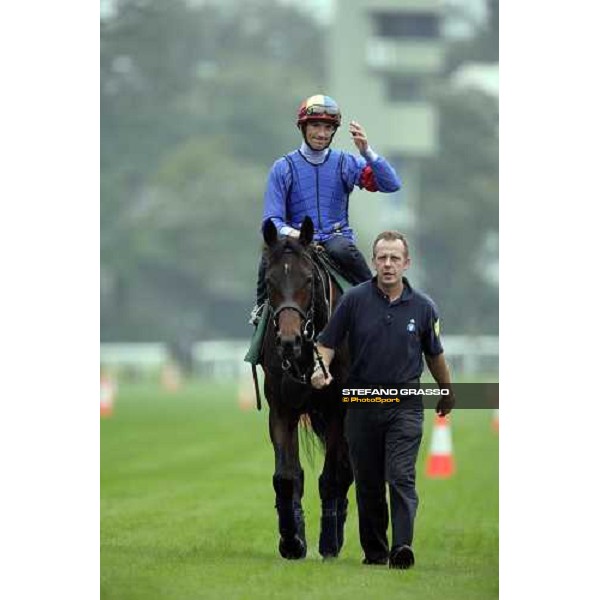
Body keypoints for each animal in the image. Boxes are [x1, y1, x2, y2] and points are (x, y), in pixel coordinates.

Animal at [260, 217, 354, 564]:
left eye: (309, 280)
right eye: (270, 280)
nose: (289, 341)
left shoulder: (337, 411)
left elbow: (332, 477)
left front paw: (328, 541)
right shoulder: (281, 408)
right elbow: (287, 477)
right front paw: (291, 540)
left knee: (346, 471)